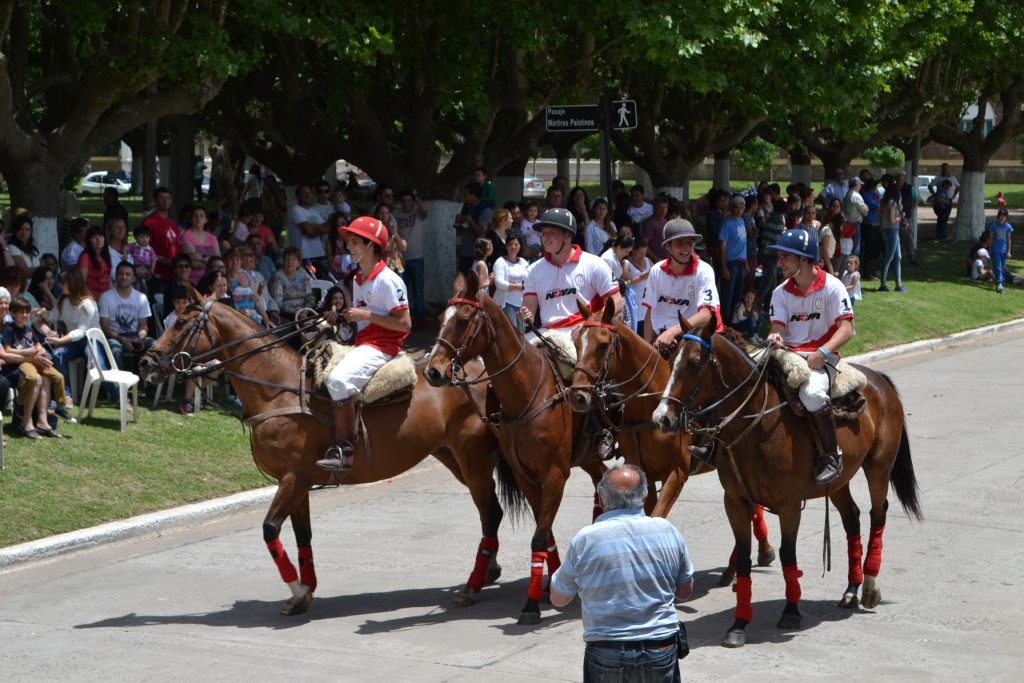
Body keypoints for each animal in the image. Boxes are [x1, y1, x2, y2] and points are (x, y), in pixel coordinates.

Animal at [138, 301, 505, 618]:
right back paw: (489, 571)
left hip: (472, 458)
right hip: (451, 456)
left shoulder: (293, 478)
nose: (145, 363)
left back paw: (473, 584)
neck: (278, 389)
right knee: (490, 512)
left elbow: (270, 529)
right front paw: (305, 592)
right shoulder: (297, 483)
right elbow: (303, 536)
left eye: (181, 323)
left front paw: (298, 590)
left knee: (490, 512)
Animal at [423, 272, 606, 626]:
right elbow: (545, 533)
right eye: (440, 320)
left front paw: (532, 604)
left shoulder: (555, 475)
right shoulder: (526, 476)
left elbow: (539, 535)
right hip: (587, 458)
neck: (527, 392)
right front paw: (551, 585)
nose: (432, 371)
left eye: (462, 320)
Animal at [569, 301, 774, 573]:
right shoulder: (644, 474)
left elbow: (658, 514)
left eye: (603, 344)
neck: (648, 408)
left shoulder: (677, 473)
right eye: (576, 342)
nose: (578, 396)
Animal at [651, 317, 925, 651]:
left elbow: (787, 555)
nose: (661, 418)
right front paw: (739, 624)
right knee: (852, 520)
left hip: (878, 467)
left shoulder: (789, 505)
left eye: (693, 363)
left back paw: (869, 588)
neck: (757, 424)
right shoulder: (735, 501)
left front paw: (791, 611)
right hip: (839, 482)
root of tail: (878, 381)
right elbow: (745, 560)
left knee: (877, 515)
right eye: (670, 361)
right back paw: (851, 589)